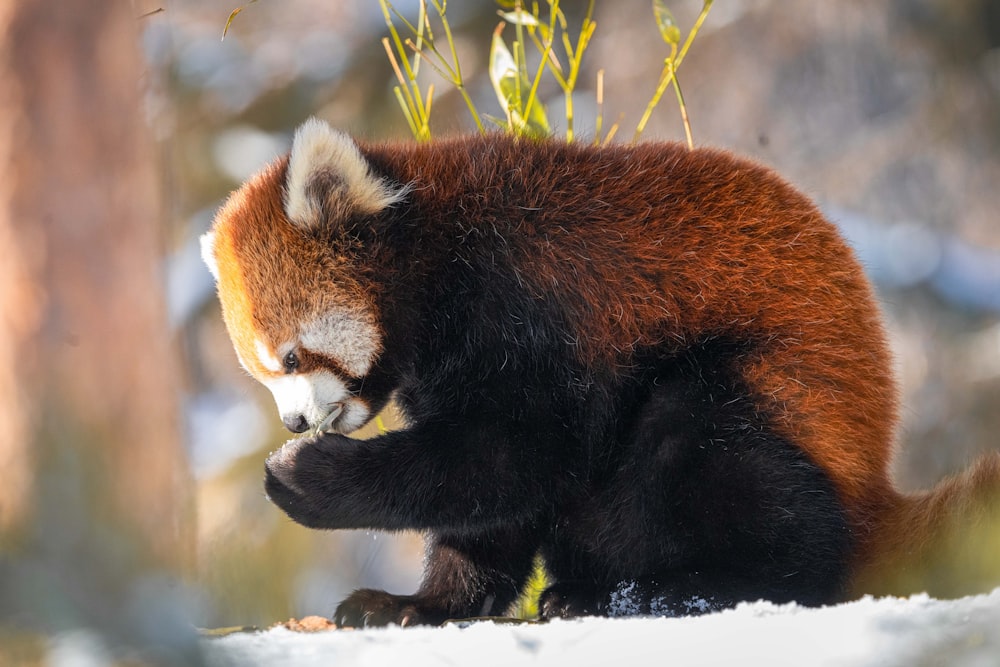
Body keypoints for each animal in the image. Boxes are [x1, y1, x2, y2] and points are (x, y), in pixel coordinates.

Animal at [201, 118, 1000, 628]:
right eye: (264, 374)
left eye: (293, 358)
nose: (293, 420)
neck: (439, 261)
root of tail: (876, 489)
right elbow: (488, 504)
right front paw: (422, 605)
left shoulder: (537, 303)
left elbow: (523, 451)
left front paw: (309, 477)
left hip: (764, 394)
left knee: (712, 450)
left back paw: (668, 591)